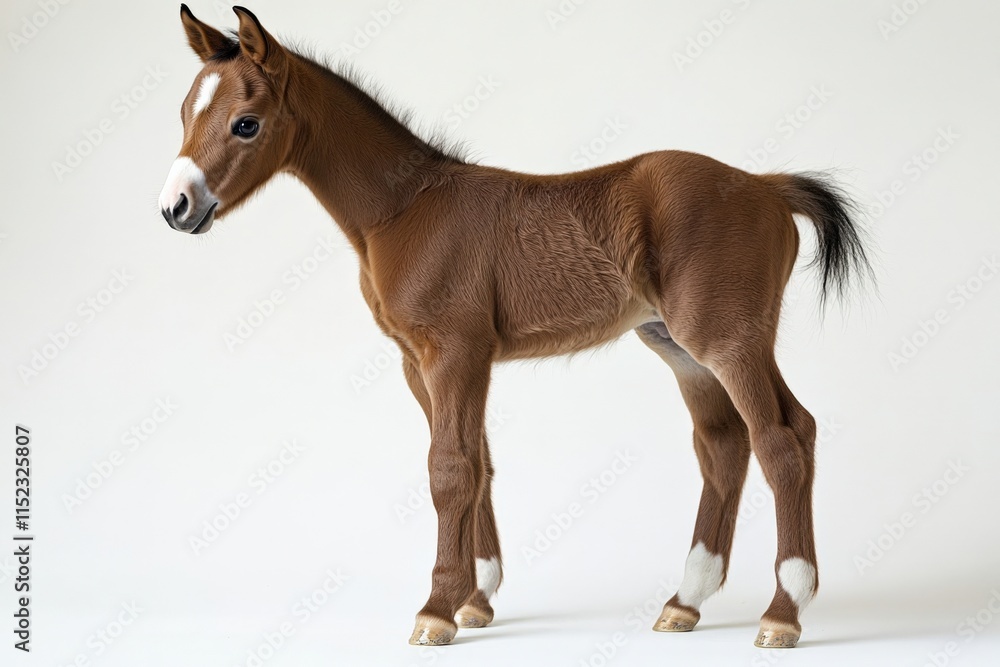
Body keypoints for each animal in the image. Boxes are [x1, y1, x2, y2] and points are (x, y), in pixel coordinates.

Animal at [159, 5, 872, 649]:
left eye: (246, 124)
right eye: (186, 114)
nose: (176, 208)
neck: (402, 209)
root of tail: (767, 185)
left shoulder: (455, 352)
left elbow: (448, 469)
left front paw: (435, 613)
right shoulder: (421, 363)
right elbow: (477, 462)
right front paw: (476, 600)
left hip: (726, 339)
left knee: (782, 438)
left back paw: (783, 614)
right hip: (680, 348)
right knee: (727, 443)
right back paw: (685, 602)